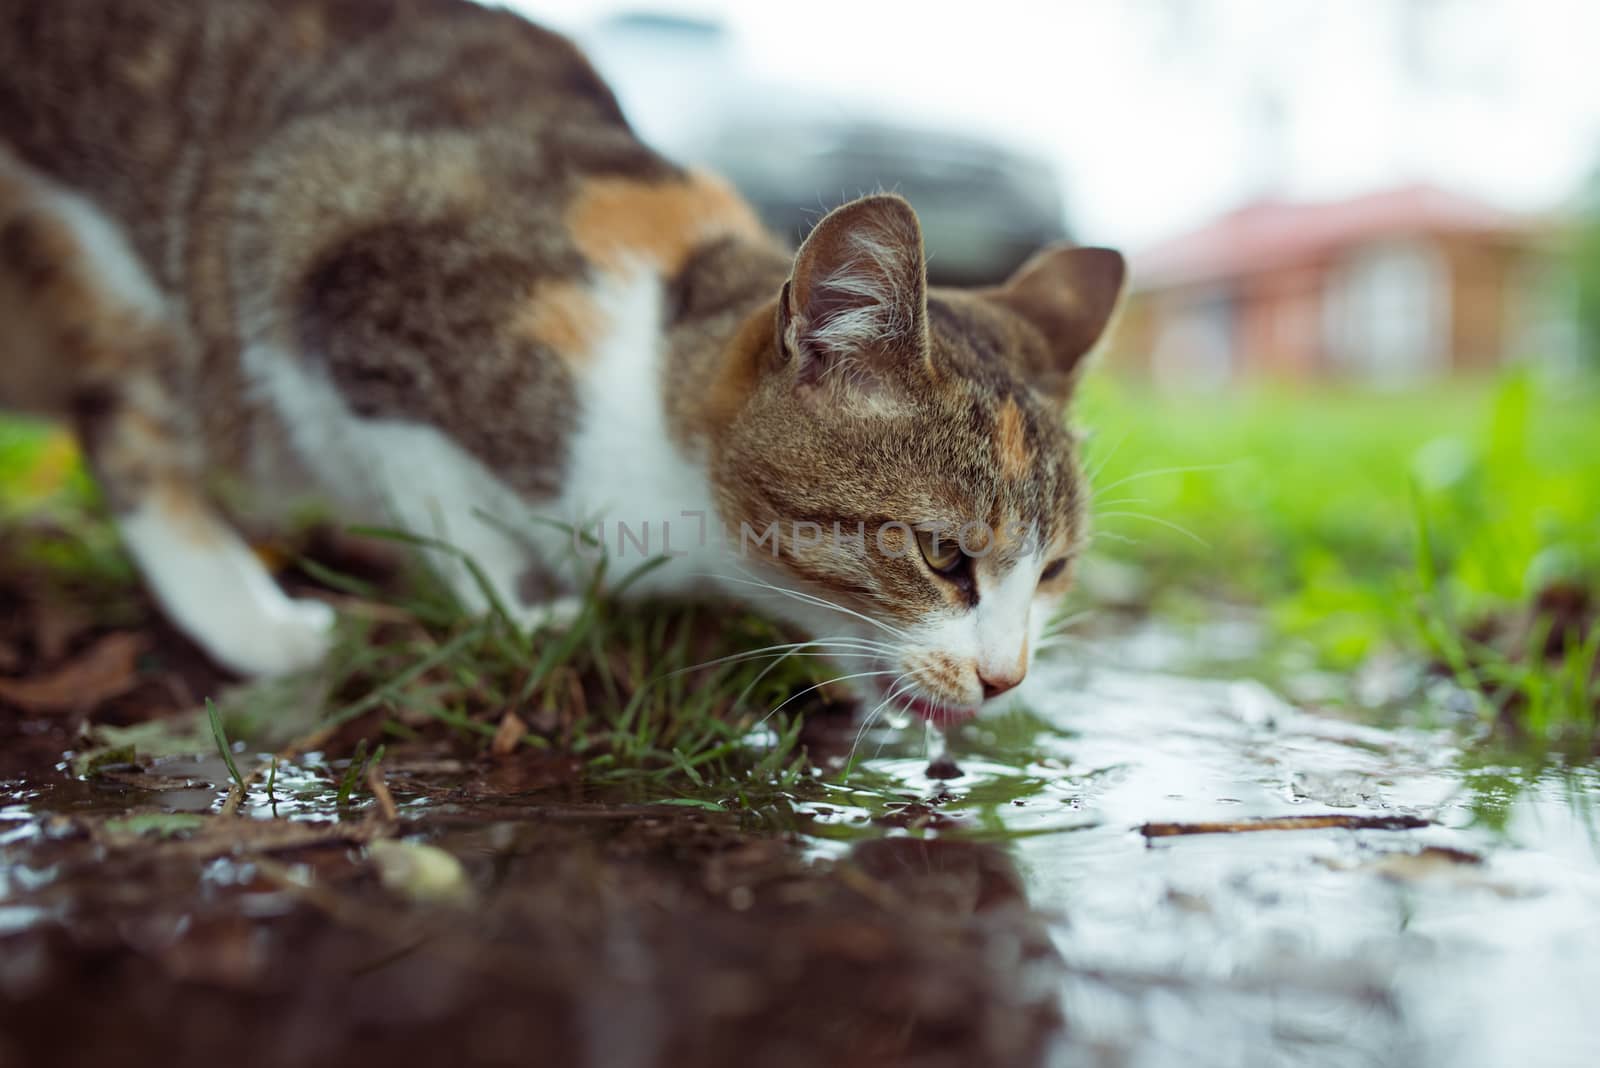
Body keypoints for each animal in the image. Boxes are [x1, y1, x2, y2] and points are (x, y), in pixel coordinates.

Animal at [0, 0, 1126, 725]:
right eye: (941, 556)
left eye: (1054, 570)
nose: (1007, 680)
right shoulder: (348, 308)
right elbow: (447, 509)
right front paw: (523, 611)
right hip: (120, 265)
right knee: (129, 423)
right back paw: (254, 622)